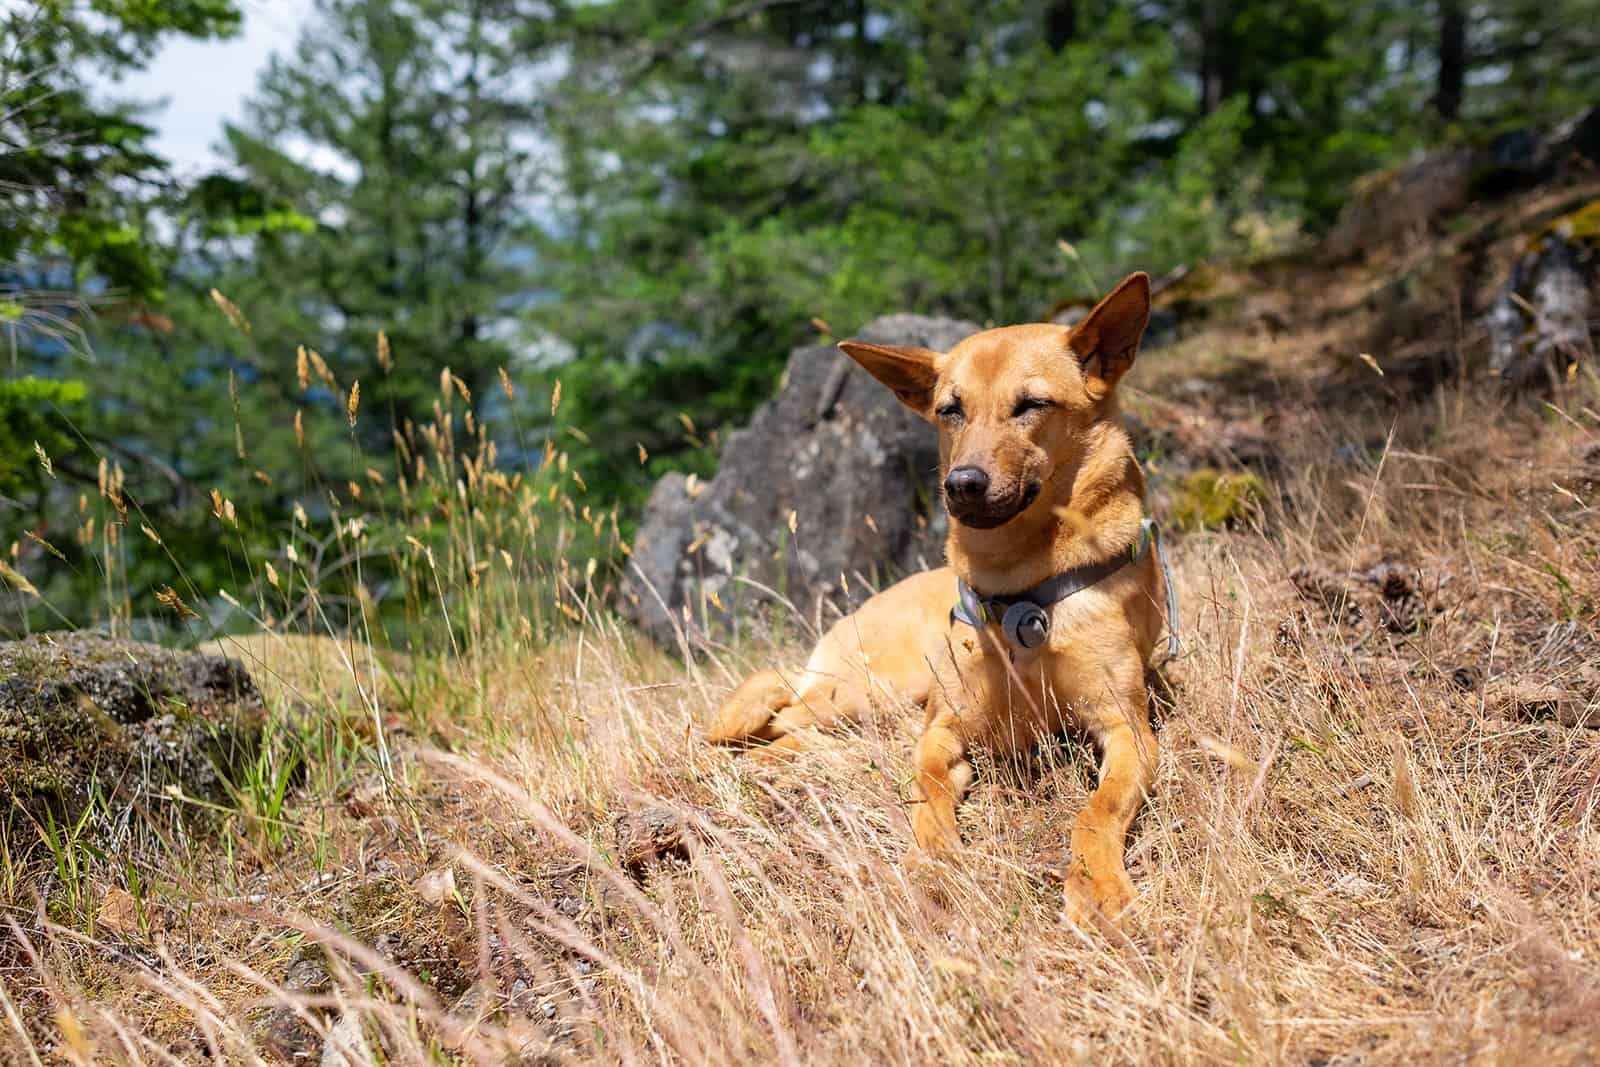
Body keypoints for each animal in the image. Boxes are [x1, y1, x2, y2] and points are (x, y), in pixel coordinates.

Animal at [713, 275, 1177, 927]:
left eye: (1032, 405)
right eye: (949, 410)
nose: (961, 485)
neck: (1021, 592)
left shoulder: (1127, 730)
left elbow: (1098, 810)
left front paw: (1096, 883)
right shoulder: (943, 730)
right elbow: (928, 792)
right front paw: (933, 861)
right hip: (874, 692)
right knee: (779, 717)